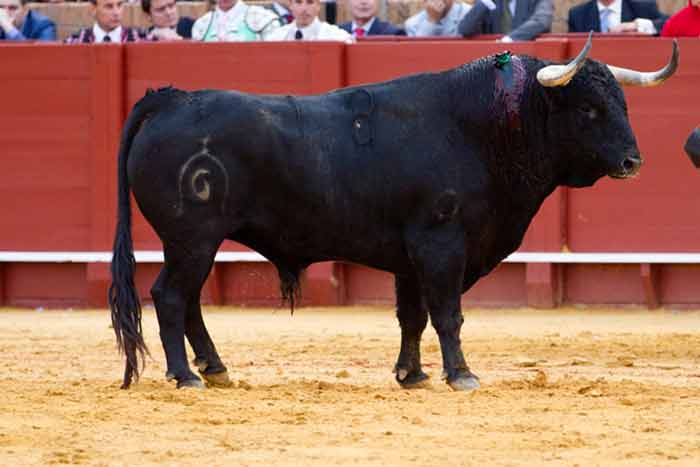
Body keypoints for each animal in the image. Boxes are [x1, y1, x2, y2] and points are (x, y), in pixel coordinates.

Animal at [109, 35, 680, 392]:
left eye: (623, 104)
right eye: (588, 108)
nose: (632, 162)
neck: (482, 128)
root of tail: (170, 99)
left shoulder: (411, 256)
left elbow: (413, 316)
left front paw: (413, 375)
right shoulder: (441, 242)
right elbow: (447, 313)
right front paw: (461, 375)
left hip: (193, 243)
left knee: (189, 302)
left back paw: (215, 368)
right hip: (193, 238)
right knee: (170, 296)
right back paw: (186, 376)